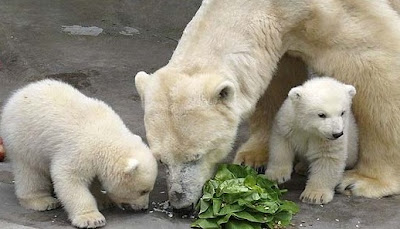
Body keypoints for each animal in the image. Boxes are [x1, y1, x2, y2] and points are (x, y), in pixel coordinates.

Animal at [1, 79, 158, 228]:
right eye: (143, 191)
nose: (143, 207)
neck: (106, 134)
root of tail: (17, 95)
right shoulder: (80, 149)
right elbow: (70, 178)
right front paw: (92, 219)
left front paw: (103, 201)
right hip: (24, 139)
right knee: (31, 172)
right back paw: (43, 201)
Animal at [134, 0, 400, 209]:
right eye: (161, 160)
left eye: (196, 155)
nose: (180, 202)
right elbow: (275, 78)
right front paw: (254, 156)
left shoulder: (338, 12)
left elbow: (375, 64)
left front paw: (365, 180)